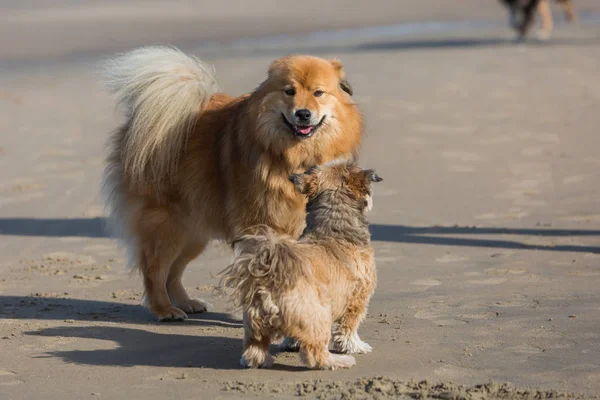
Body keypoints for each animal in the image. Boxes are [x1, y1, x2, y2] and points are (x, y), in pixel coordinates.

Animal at [101, 47, 364, 322]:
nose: (303, 113)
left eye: (318, 93)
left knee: (174, 271)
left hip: (193, 231)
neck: (294, 156)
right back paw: (165, 309)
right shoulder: (259, 226)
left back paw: (186, 303)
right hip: (167, 225)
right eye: (289, 91)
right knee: (155, 270)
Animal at [219, 162, 380, 368]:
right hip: (319, 315)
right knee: (315, 353)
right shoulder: (358, 298)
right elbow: (349, 328)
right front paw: (356, 346)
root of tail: (271, 277)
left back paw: (258, 360)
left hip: (253, 321)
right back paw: (338, 361)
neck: (332, 227)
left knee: (255, 348)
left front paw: (291, 343)